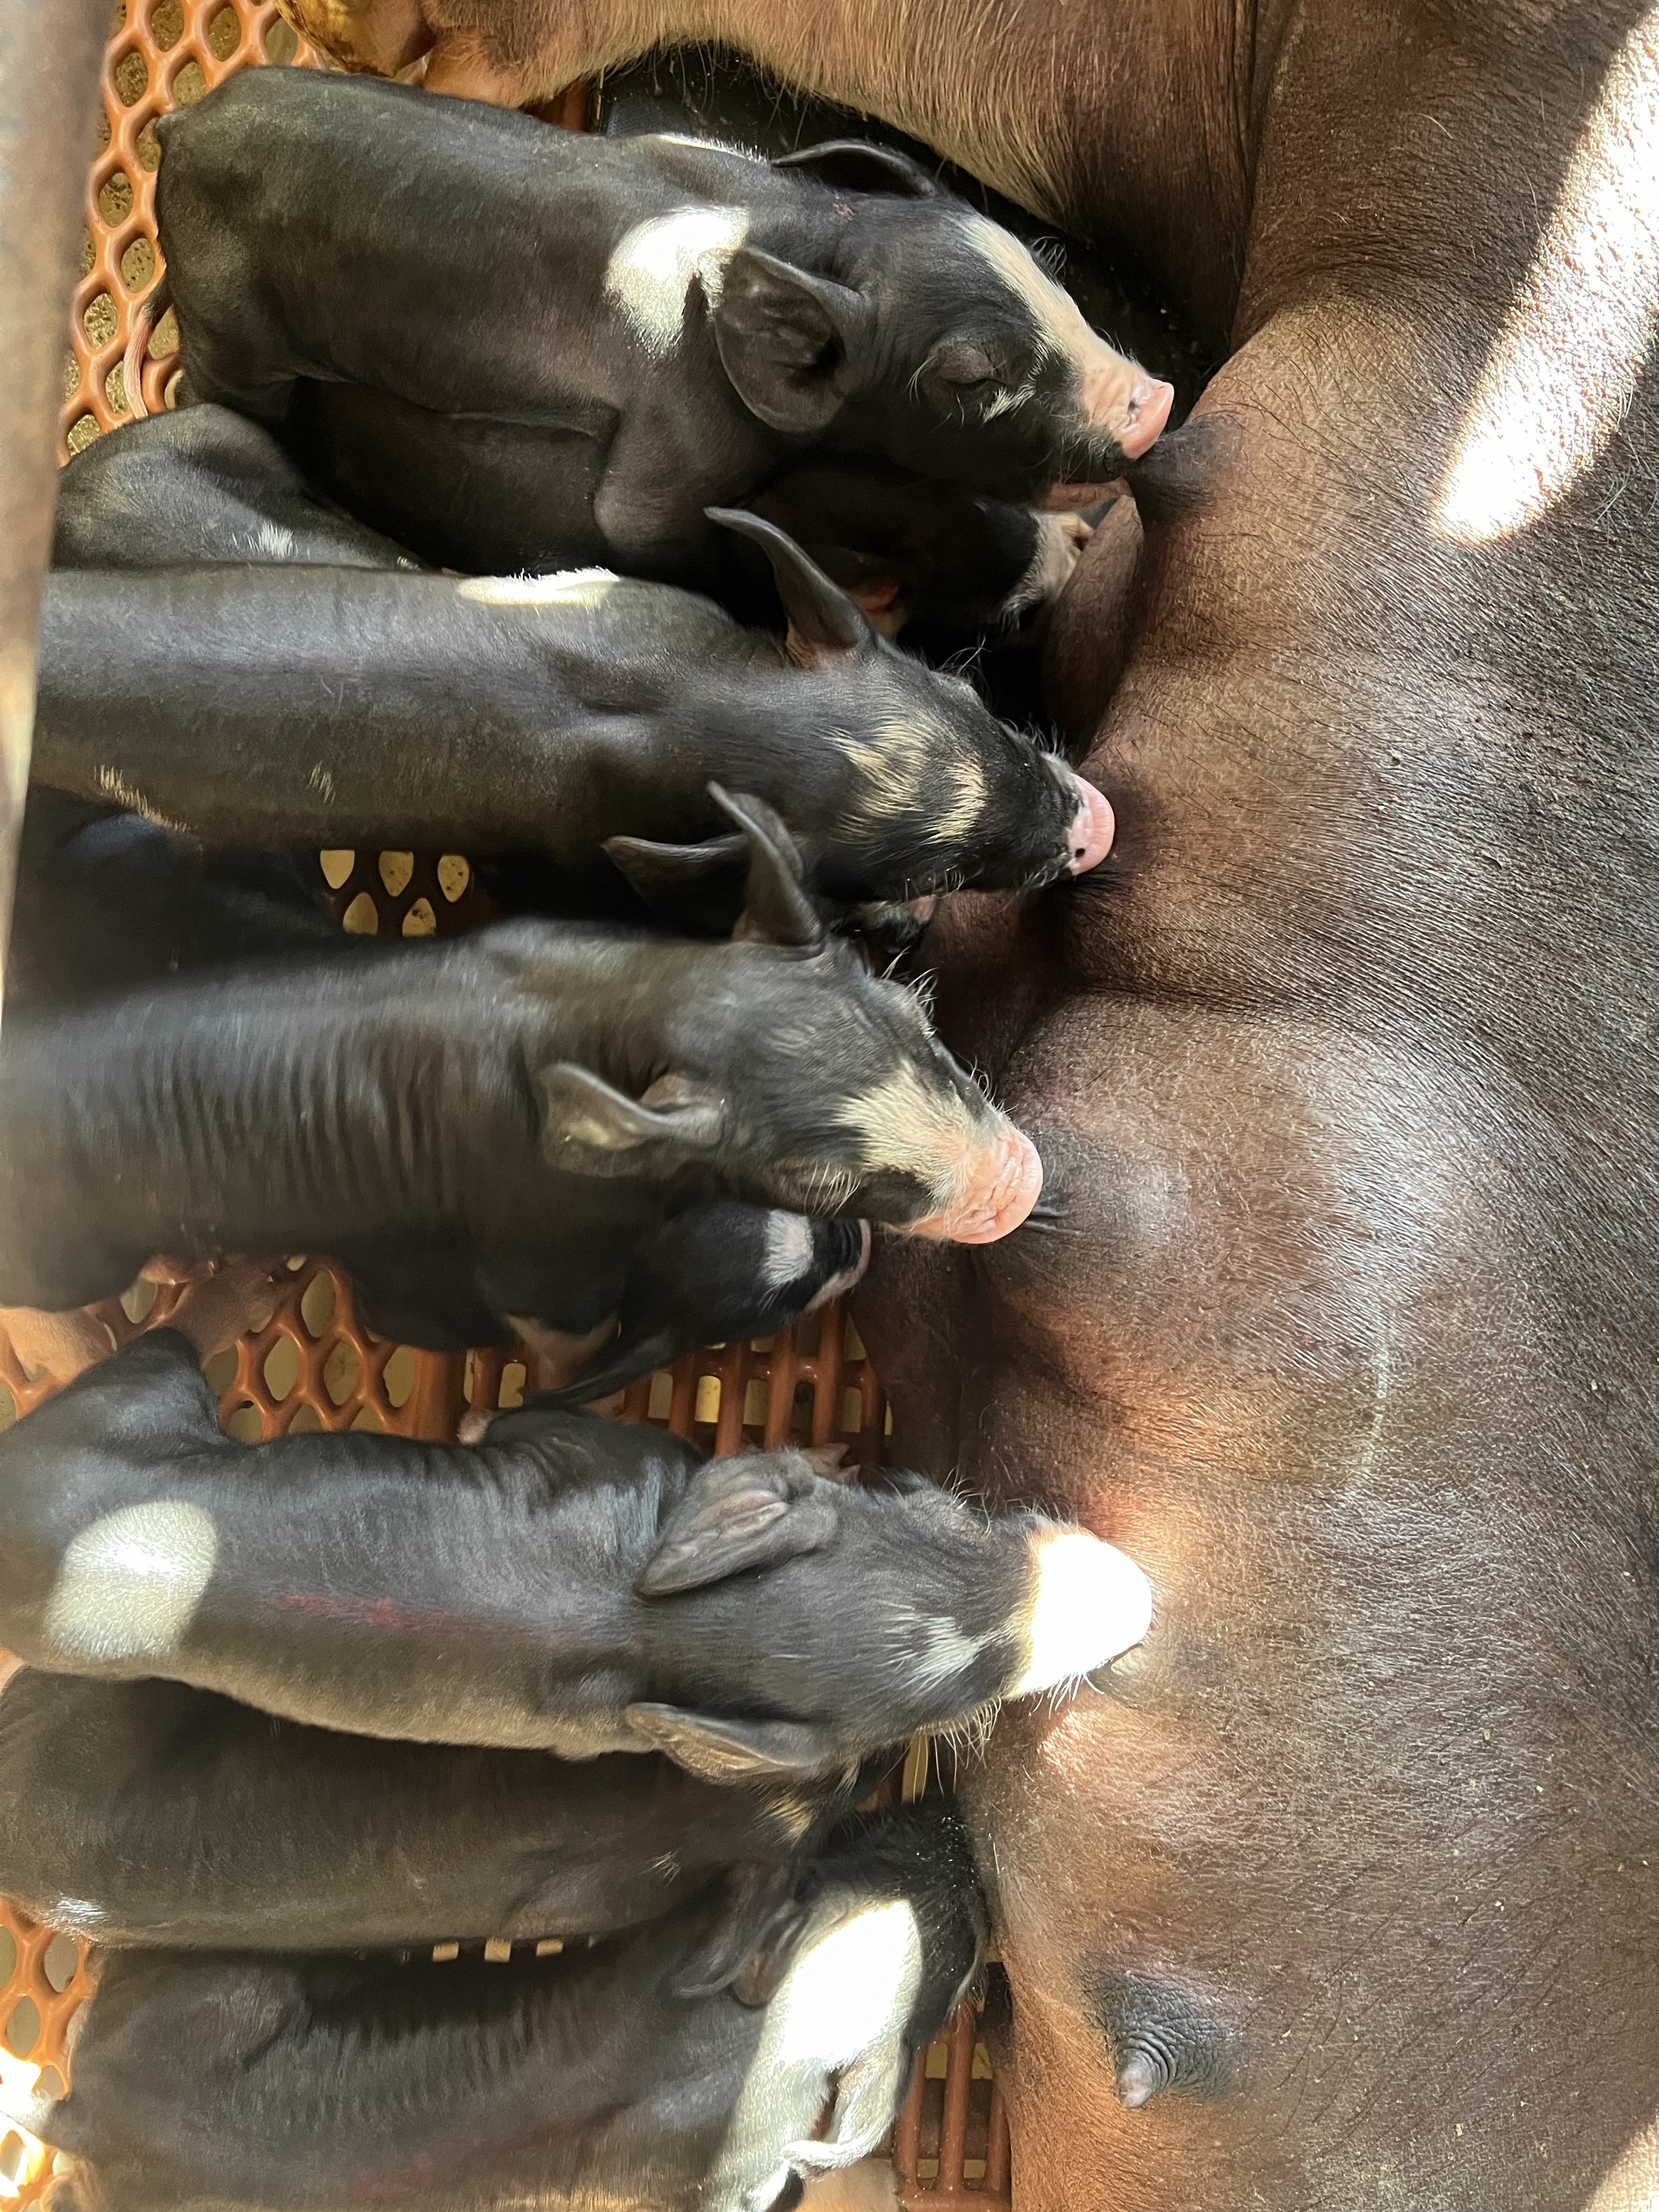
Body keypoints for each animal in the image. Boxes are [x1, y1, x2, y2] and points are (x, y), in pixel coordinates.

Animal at [0, 793, 1047, 1351]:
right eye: (818, 1181)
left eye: (913, 1016)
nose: (1027, 1183)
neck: (624, 1004)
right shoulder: (531, 1238)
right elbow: (557, 1334)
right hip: (66, 1250)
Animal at [0, 1322, 1151, 1775]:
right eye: (933, 1499)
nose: (1143, 1597)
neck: (647, 1619)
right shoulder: (589, 1442)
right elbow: (509, 1420)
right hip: (137, 1386)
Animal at [148, 68, 1170, 586]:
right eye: (970, 380)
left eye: (1048, 273)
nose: (1157, 400)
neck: (797, 238)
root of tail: (180, 121)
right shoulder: (673, 437)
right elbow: (642, 528)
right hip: (231, 326)